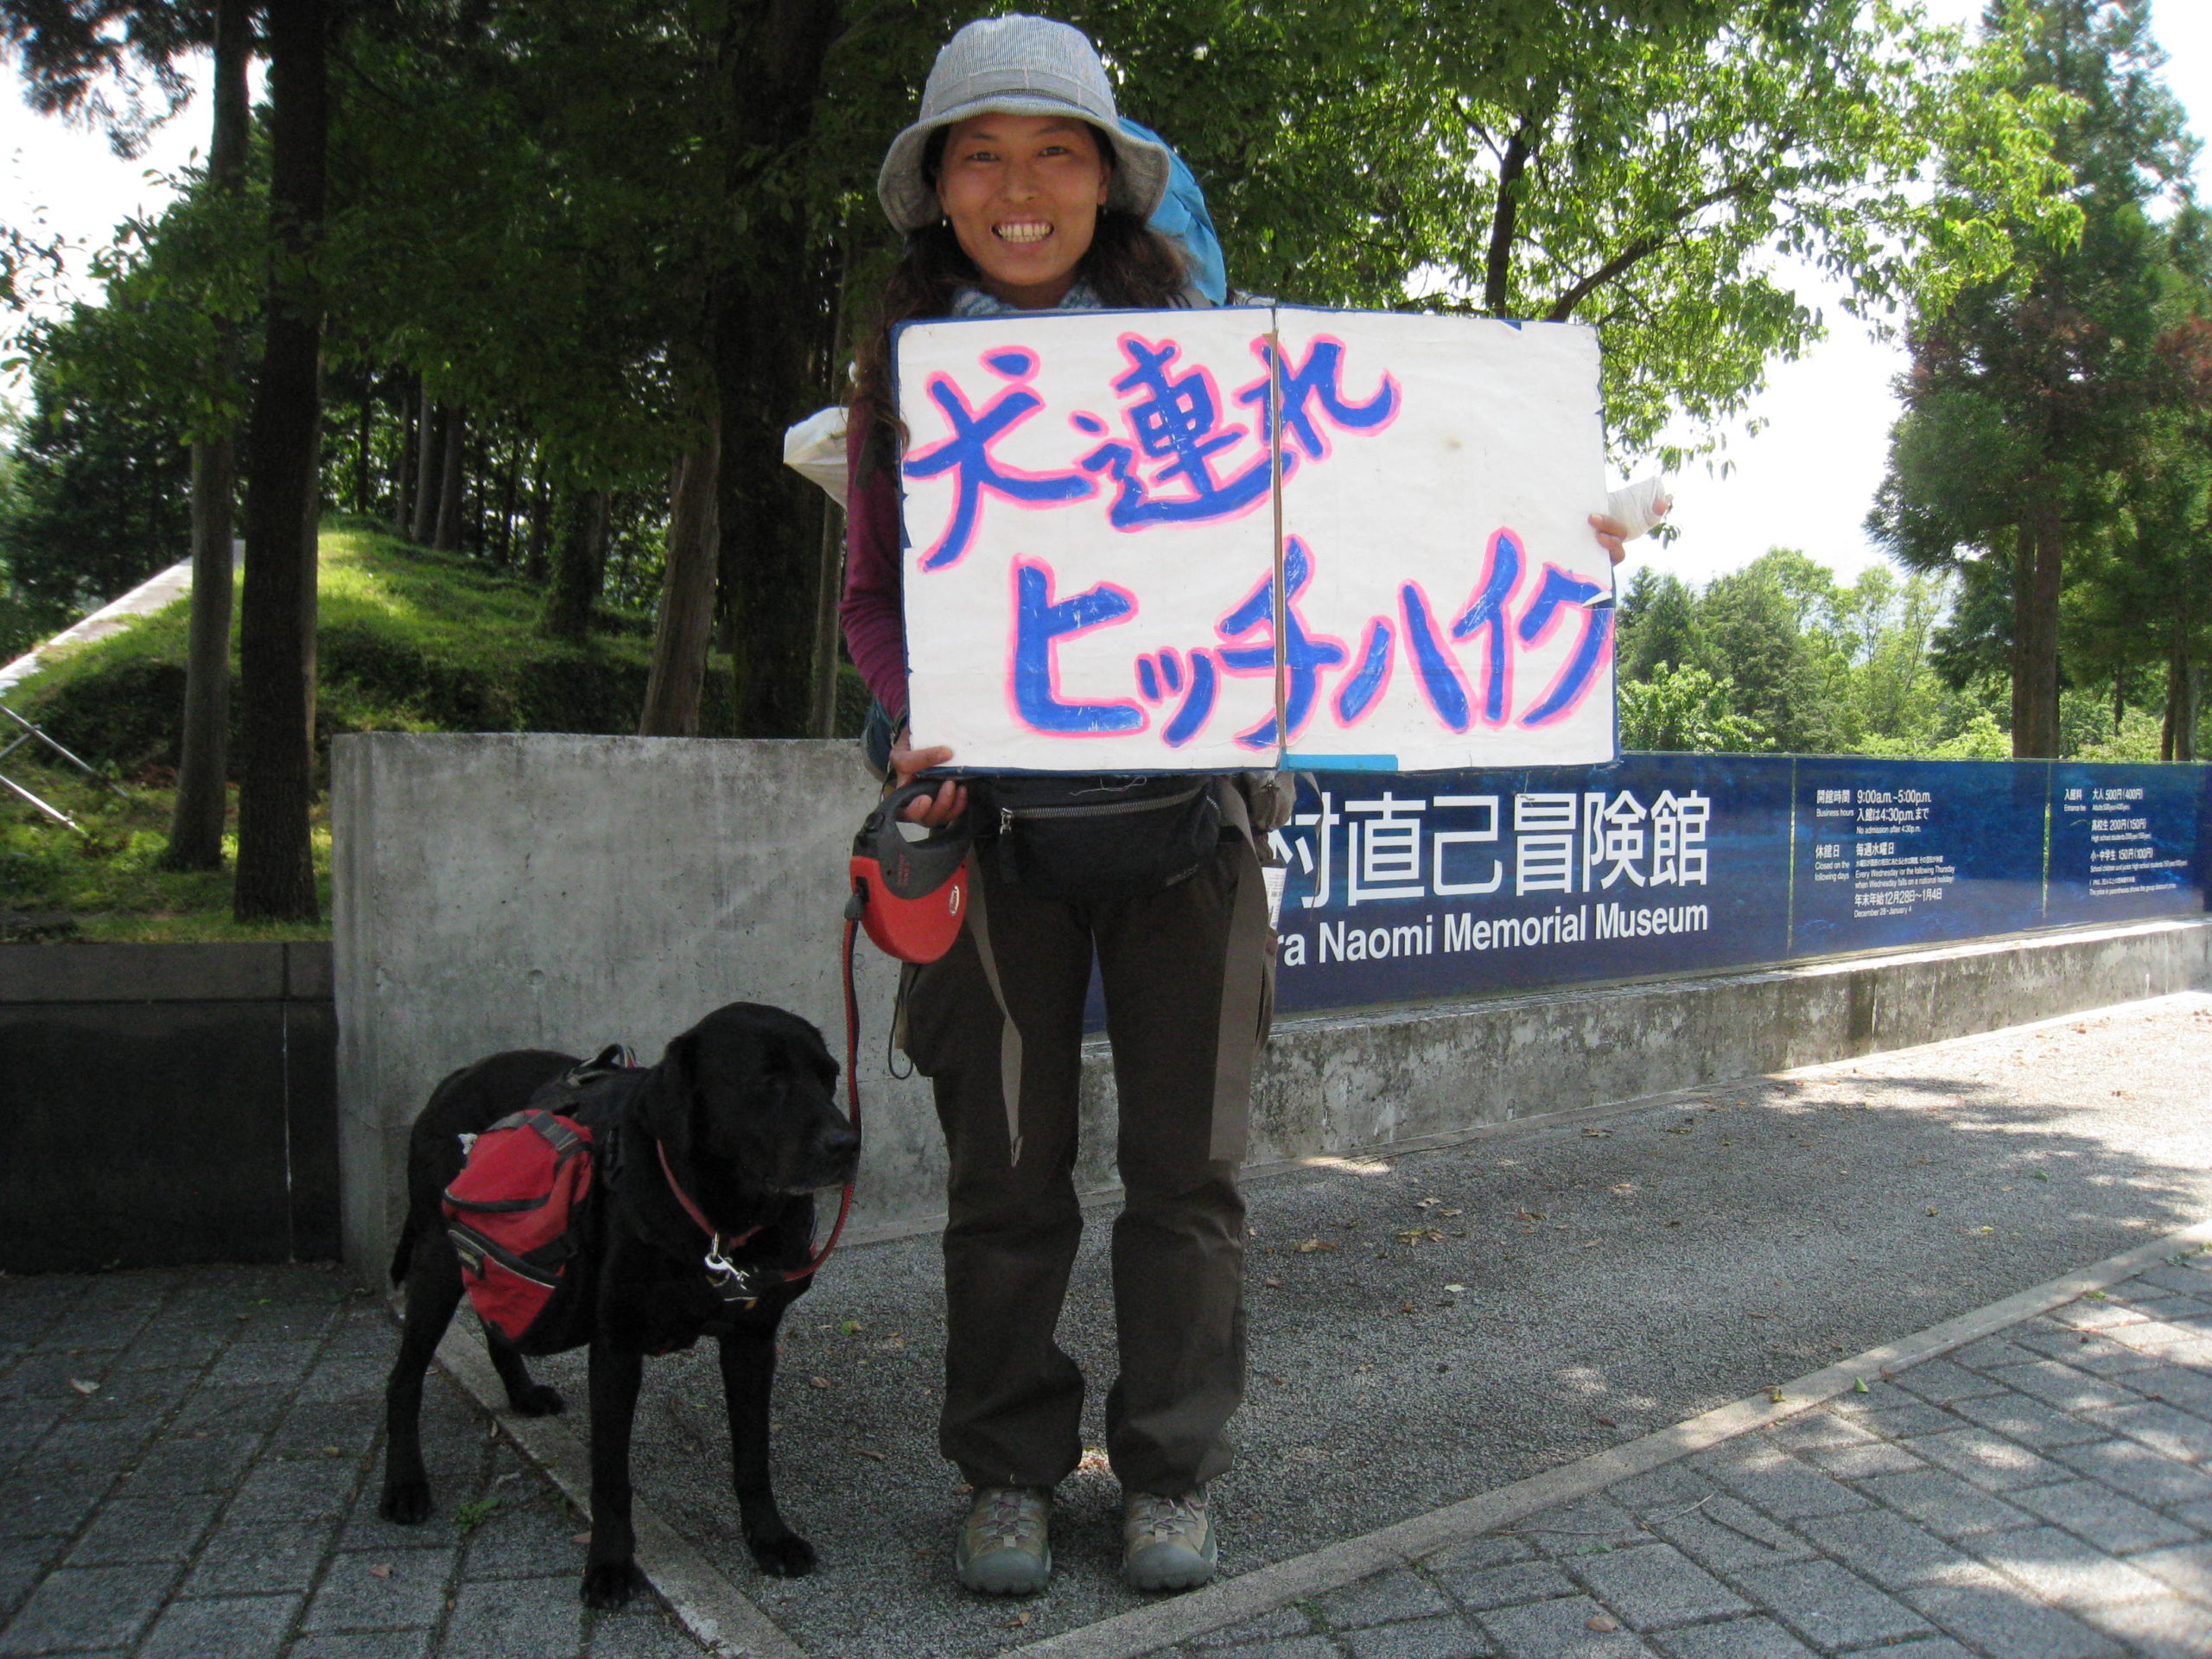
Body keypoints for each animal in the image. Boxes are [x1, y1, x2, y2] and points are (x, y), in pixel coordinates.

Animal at [376, 1008, 858, 1601]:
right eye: (767, 1081)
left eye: (829, 1076)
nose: (847, 1143)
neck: (717, 1219)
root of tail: (458, 1075)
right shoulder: (616, 1348)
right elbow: (610, 1473)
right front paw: (608, 1563)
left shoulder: (752, 1342)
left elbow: (753, 1456)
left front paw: (769, 1538)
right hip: (439, 1262)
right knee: (404, 1379)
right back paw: (404, 1485)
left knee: (497, 1321)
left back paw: (521, 1393)